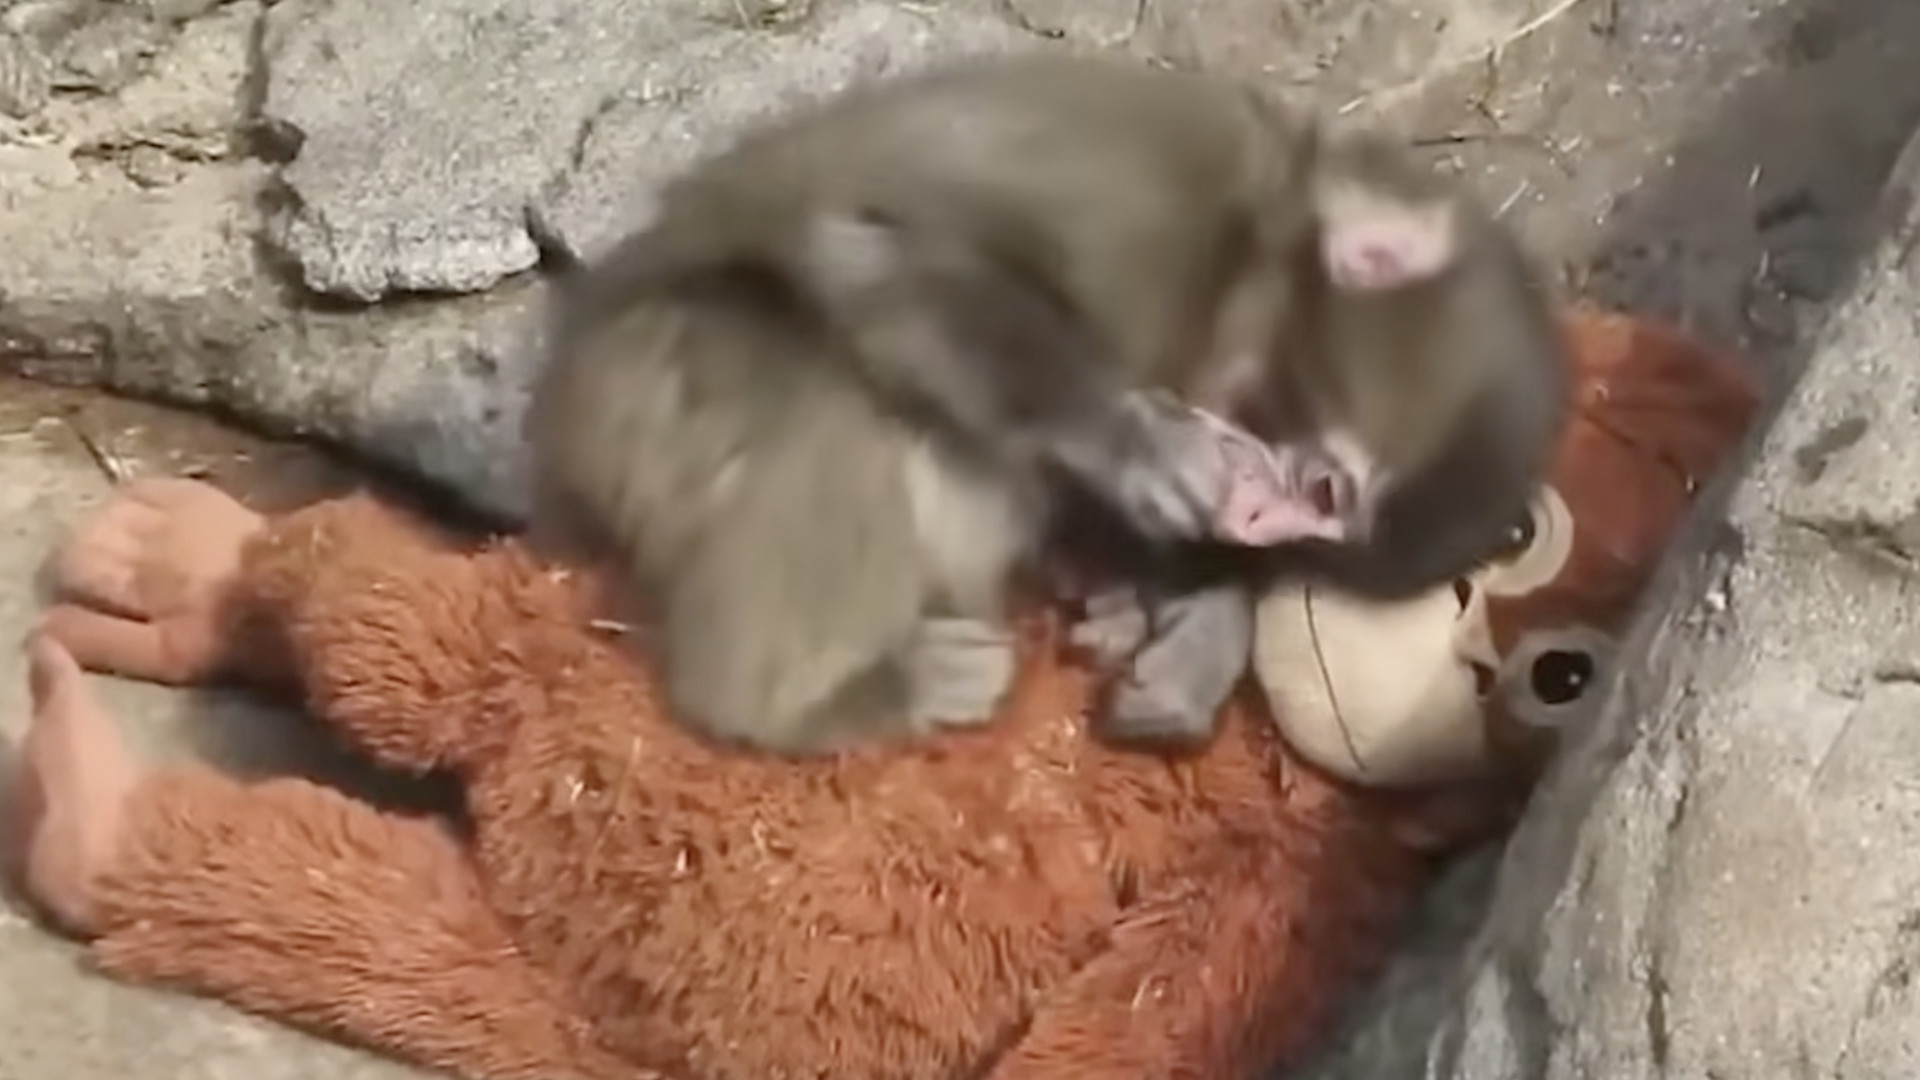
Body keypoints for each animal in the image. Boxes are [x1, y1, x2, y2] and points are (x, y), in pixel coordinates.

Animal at [525, 52, 1571, 757]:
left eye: (1317, 537)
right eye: (1323, 489)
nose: (1259, 523)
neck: (1240, 257)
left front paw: (1190, 623)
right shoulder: (1139, 196)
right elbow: (867, 238)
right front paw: (1131, 438)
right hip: (636, 388)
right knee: (802, 391)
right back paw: (808, 698)